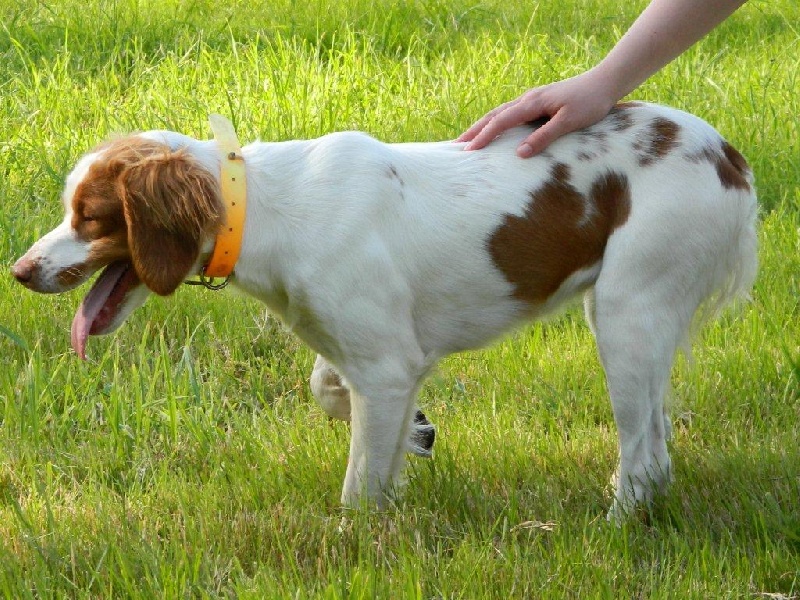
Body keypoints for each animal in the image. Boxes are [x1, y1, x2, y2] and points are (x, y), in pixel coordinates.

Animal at [10, 102, 756, 516]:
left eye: (90, 216)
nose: (19, 271)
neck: (268, 211)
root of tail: (728, 154)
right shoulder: (377, 356)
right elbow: (329, 388)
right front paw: (416, 433)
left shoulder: (386, 365)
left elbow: (358, 490)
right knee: (657, 442)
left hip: (629, 314)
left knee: (644, 456)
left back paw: (615, 526)